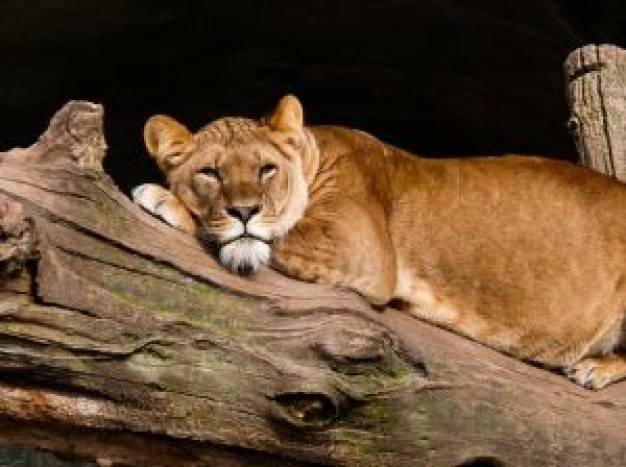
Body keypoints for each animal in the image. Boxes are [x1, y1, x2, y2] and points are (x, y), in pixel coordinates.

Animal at [134, 95, 624, 392]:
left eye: (266, 169)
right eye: (211, 173)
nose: (244, 211)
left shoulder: (360, 248)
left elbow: (276, 233)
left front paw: (163, 198)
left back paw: (593, 367)